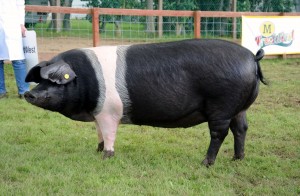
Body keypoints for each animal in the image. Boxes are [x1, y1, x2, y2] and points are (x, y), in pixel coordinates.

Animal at [25, 38, 264, 165]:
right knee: (241, 128)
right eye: (40, 79)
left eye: (55, 80)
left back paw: (206, 163)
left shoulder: (109, 112)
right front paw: (97, 150)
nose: (29, 94)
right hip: (239, 108)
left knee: (219, 133)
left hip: (222, 106)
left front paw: (106, 157)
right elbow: (99, 132)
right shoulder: (98, 113)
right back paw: (237, 159)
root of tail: (252, 57)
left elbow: (109, 133)